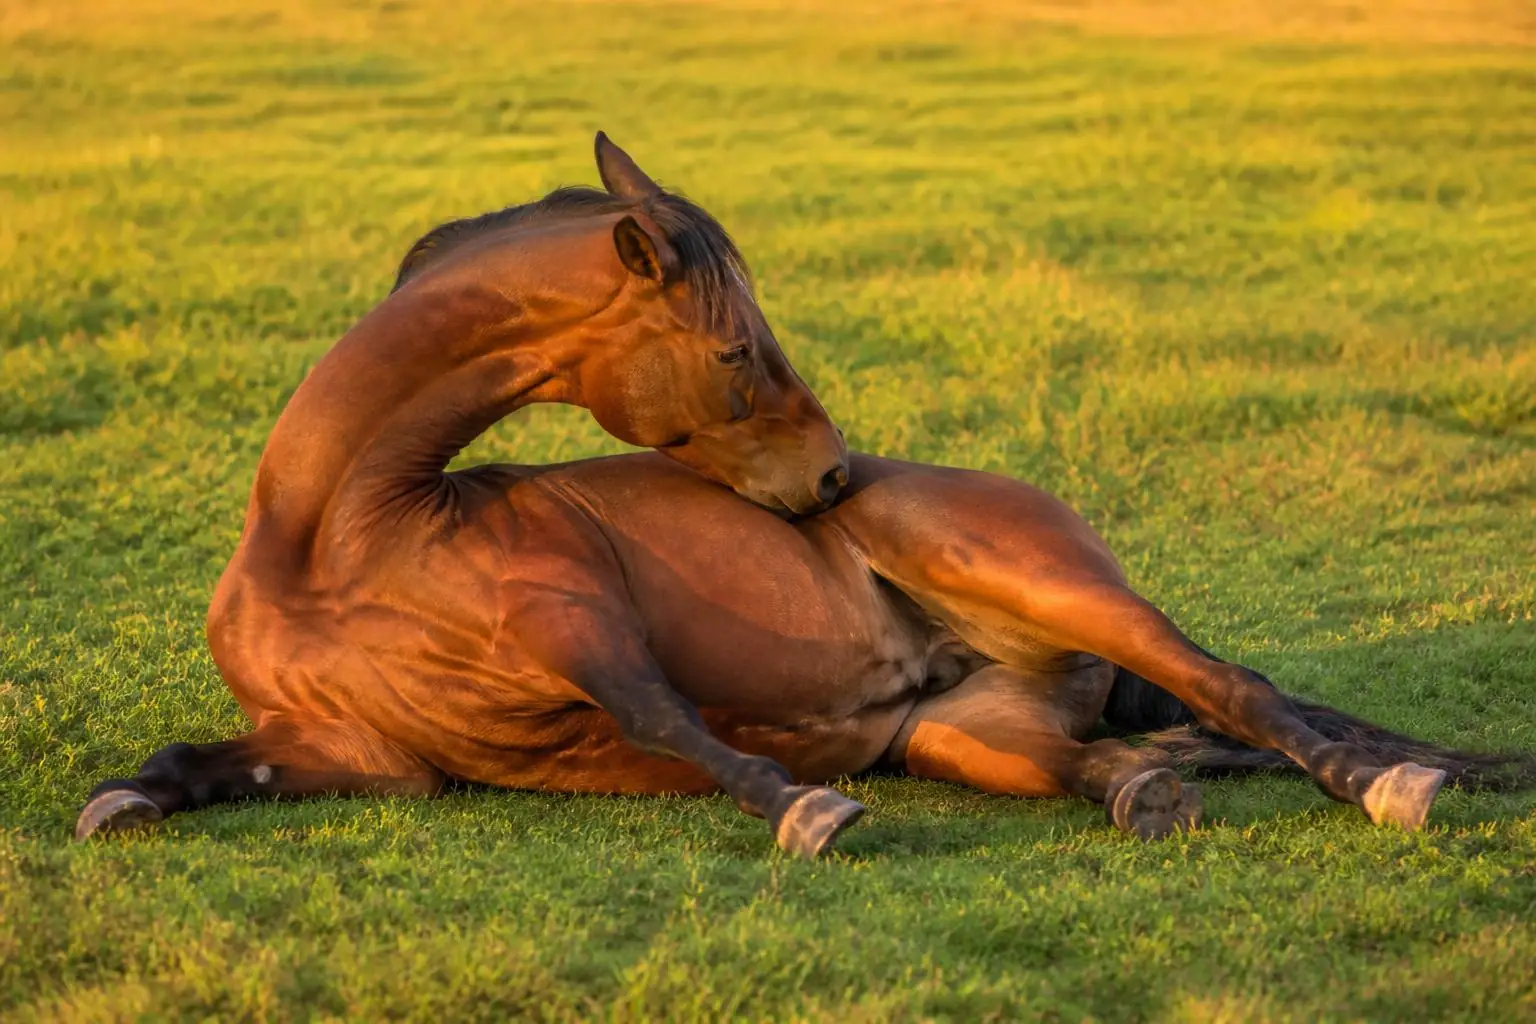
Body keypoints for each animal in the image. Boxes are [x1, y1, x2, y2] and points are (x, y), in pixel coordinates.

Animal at [76, 135, 1532, 857]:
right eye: (735, 352)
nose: (828, 478)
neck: (338, 537)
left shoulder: (585, 633)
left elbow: (665, 715)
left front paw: (803, 811)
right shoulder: (370, 755)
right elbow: (200, 764)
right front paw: (123, 802)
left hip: (1046, 585)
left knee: (1239, 690)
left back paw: (1387, 786)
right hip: (966, 738)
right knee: (1119, 761)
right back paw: (1148, 800)